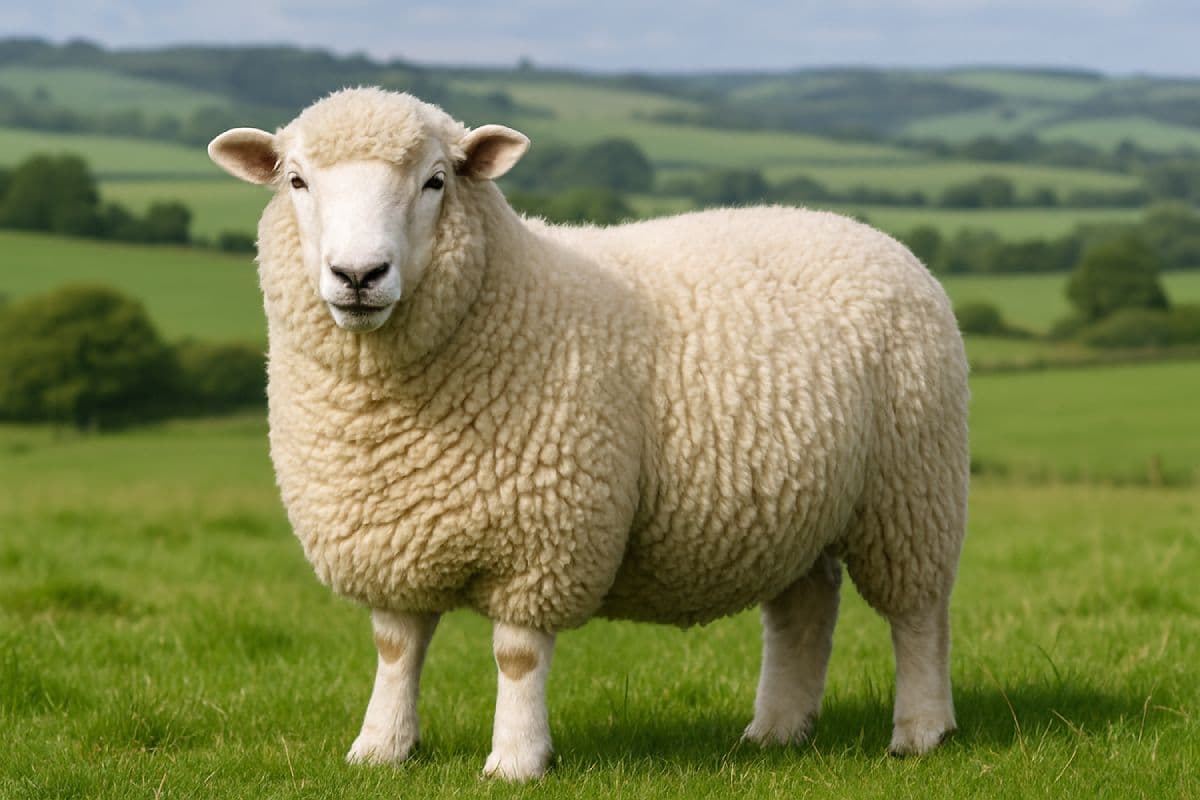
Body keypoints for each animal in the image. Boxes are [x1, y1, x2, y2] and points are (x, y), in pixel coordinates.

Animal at [207, 87, 970, 781]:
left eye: (436, 180)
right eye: (296, 181)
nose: (359, 275)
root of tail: (871, 235)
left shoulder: (545, 533)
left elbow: (517, 655)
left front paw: (516, 761)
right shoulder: (390, 533)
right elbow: (396, 648)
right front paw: (380, 749)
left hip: (913, 489)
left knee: (920, 614)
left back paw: (920, 732)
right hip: (795, 505)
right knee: (802, 610)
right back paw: (776, 730)